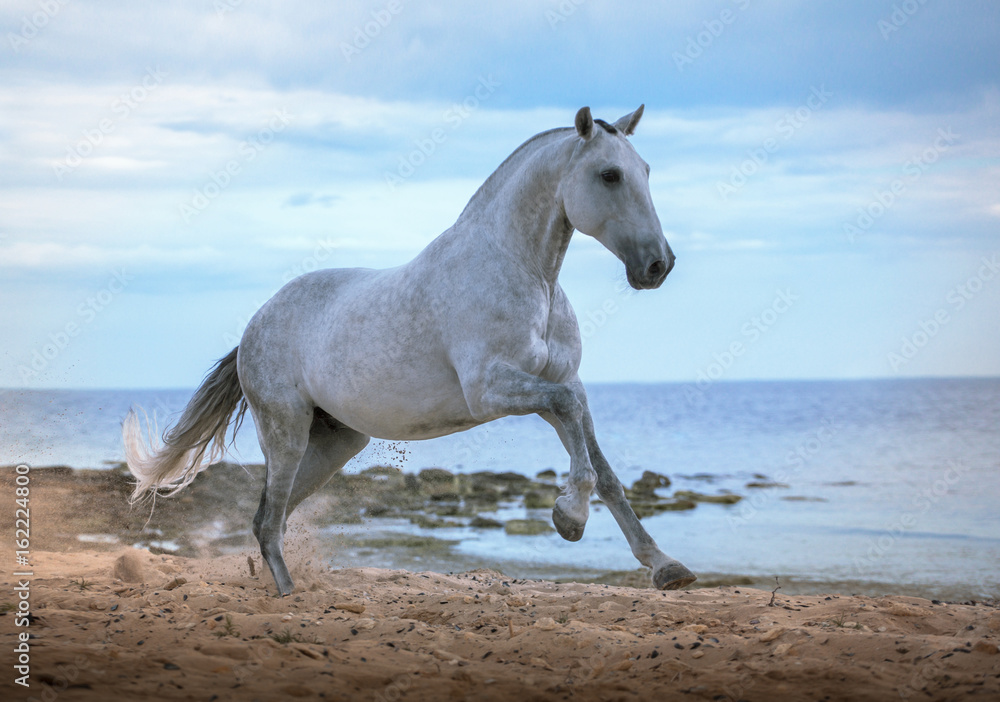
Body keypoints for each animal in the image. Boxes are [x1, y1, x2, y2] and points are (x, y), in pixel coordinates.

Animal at [125, 106, 696, 600]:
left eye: (646, 170)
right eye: (609, 175)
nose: (658, 265)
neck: (527, 275)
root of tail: (252, 328)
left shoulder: (562, 382)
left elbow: (605, 469)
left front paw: (665, 567)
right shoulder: (493, 389)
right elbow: (573, 422)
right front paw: (569, 518)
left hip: (336, 442)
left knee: (273, 518)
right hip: (286, 432)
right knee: (268, 519)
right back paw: (289, 596)